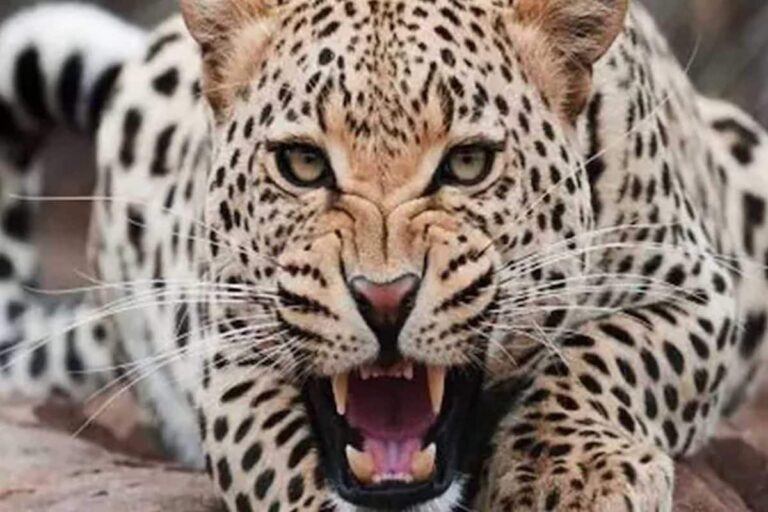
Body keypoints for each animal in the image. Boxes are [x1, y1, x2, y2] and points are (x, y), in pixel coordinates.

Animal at [1, 0, 768, 511]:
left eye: (468, 164)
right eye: (304, 164)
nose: (384, 298)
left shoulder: (695, 285)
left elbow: (607, 356)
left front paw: (570, 479)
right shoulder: (228, 346)